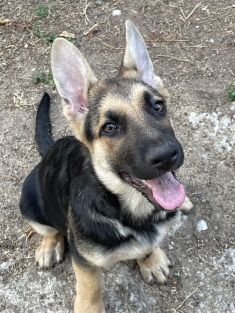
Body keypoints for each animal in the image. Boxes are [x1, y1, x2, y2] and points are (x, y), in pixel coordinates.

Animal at [20, 20, 193, 310]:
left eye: (158, 107)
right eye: (110, 128)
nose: (168, 155)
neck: (131, 210)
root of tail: (49, 151)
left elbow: (150, 244)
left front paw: (151, 258)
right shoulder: (84, 261)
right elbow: (91, 288)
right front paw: (89, 307)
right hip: (29, 202)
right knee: (47, 229)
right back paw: (49, 245)